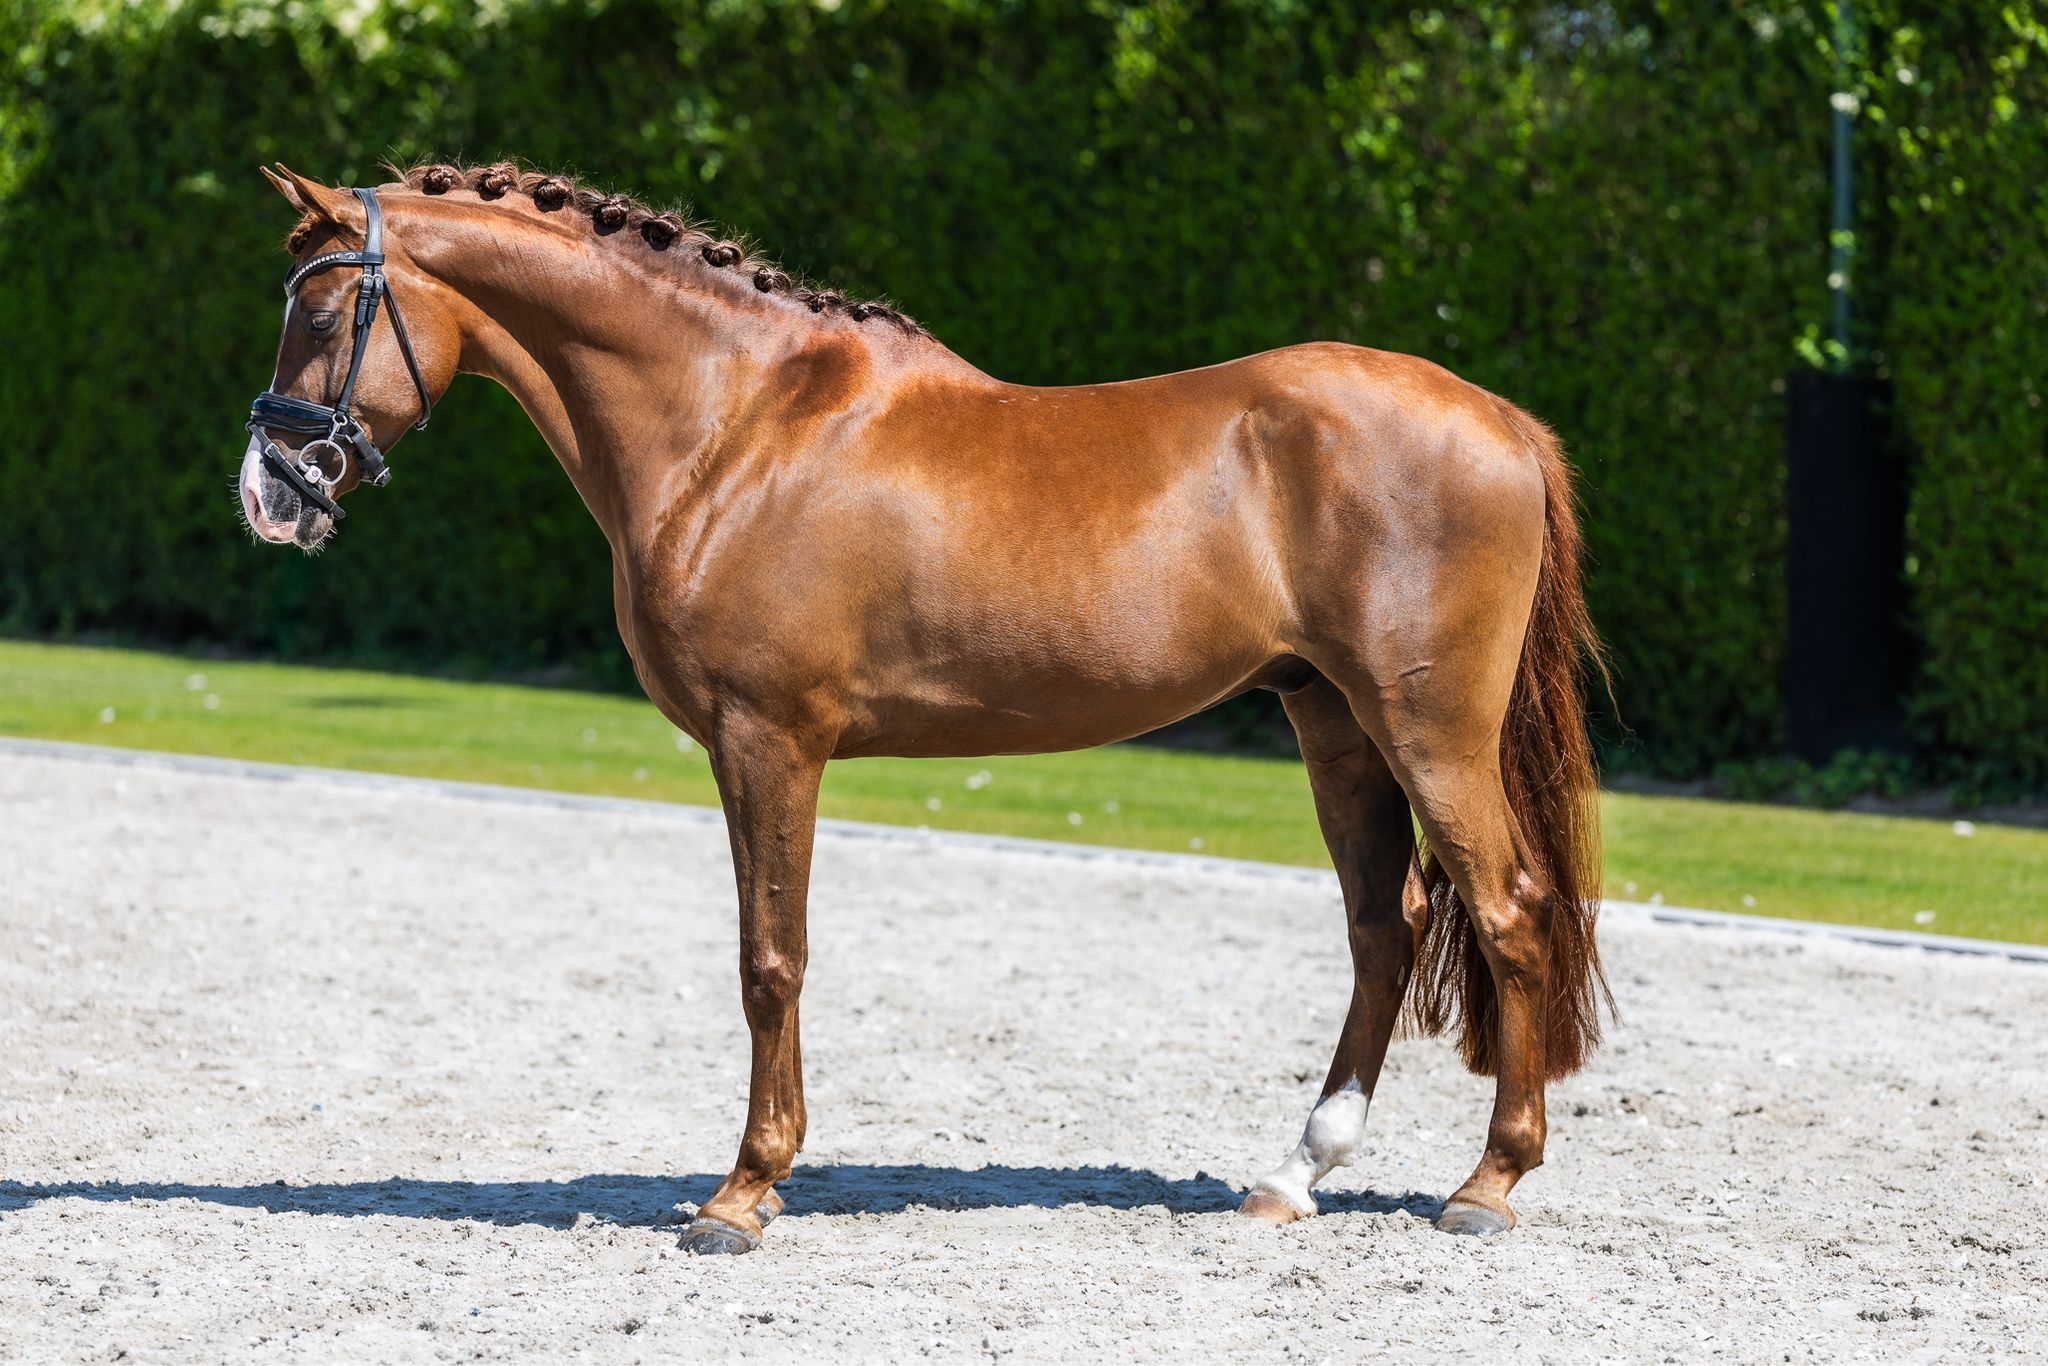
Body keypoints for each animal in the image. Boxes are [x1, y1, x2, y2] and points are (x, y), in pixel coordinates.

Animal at [238, 161, 1610, 1255]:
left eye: (322, 308)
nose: (269, 491)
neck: (736, 425)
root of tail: (1500, 420)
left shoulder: (768, 740)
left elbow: (770, 959)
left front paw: (742, 1192)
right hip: (1332, 723)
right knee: (1387, 928)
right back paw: (1292, 1174)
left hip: (1427, 731)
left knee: (1508, 910)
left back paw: (1486, 1184)